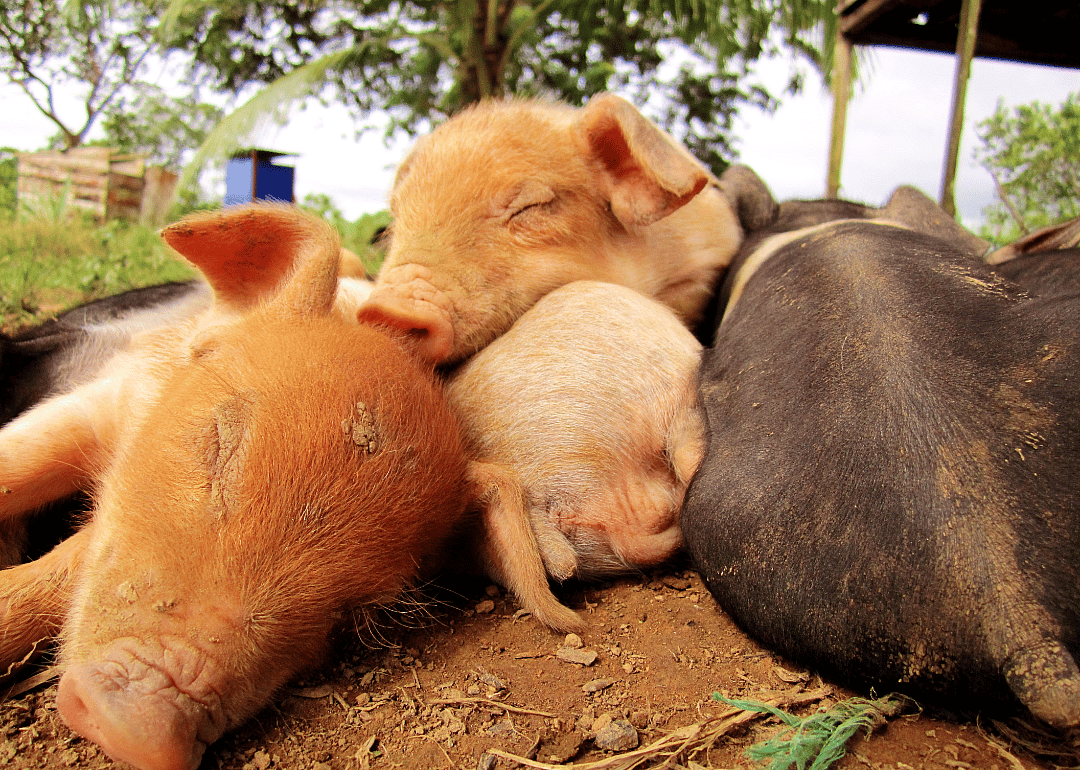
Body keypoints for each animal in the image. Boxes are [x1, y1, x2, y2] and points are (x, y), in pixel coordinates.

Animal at [0, 204, 467, 770]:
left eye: (353, 617)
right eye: (221, 443)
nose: (137, 732)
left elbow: (69, 563)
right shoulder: (103, 396)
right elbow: (20, 460)